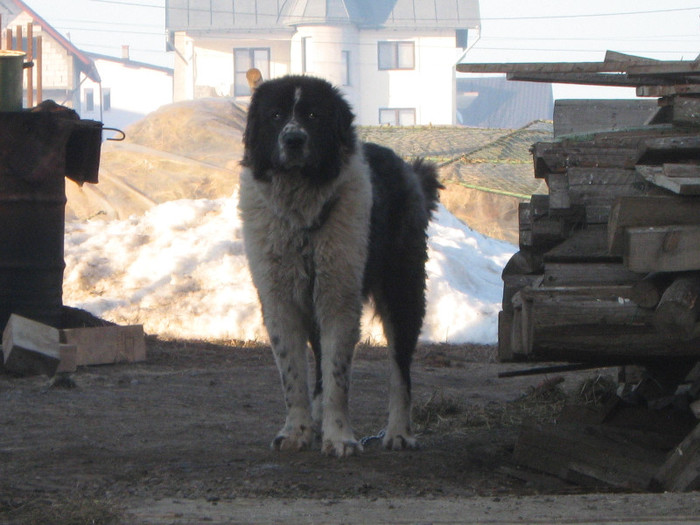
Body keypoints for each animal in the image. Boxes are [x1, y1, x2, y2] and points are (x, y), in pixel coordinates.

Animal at [238, 75, 440, 456]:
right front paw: (297, 431)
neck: (301, 217)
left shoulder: (339, 299)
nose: (293, 139)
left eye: (313, 115)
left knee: (400, 372)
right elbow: (293, 375)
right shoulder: (279, 301)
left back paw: (398, 433)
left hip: (402, 292)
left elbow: (337, 376)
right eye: (275, 115)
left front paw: (340, 437)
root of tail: (408, 170)